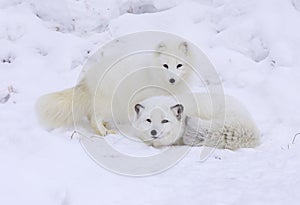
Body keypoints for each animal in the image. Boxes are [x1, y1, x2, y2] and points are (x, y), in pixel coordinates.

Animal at [35, 32, 199, 135]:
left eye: (179, 65)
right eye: (165, 65)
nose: (172, 80)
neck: (154, 74)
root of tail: (88, 78)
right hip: (110, 103)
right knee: (94, 117)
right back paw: (103, 132)